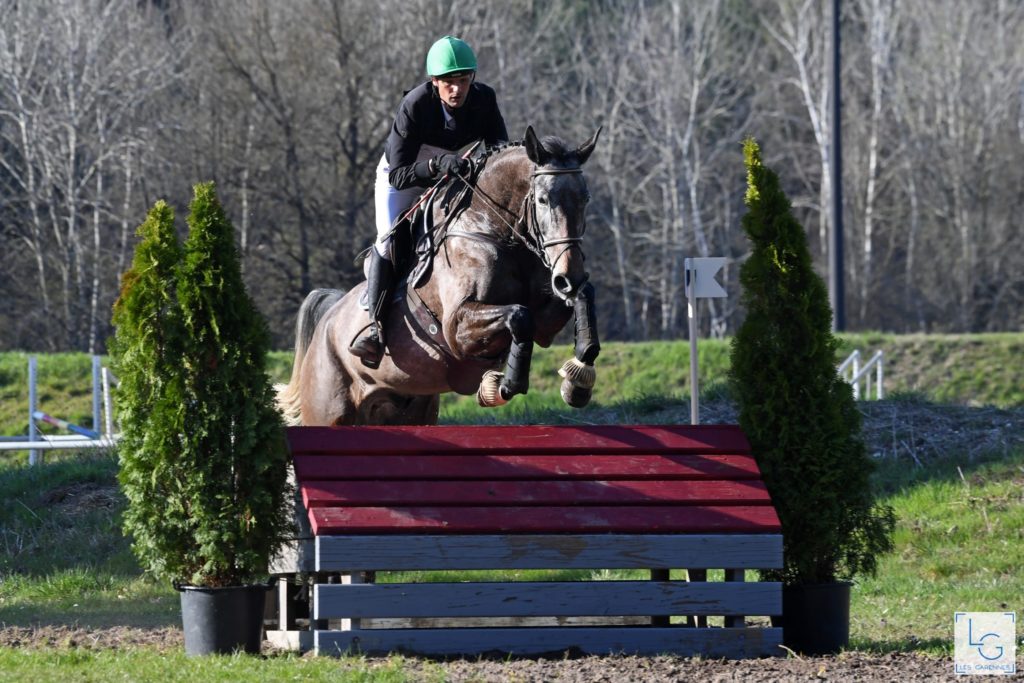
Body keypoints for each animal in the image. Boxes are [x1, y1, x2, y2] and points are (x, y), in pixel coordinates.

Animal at [276, 126, 602, 428]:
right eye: (544, 200)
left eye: (586, 198)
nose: (569, 276)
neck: (492, 231)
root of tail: (327, 319)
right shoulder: (457, 328)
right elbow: (520, 315)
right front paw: (502, 385)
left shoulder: (546, 321)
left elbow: (581, 297)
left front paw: (577, 379)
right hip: (329, 411)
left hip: (411, 410)